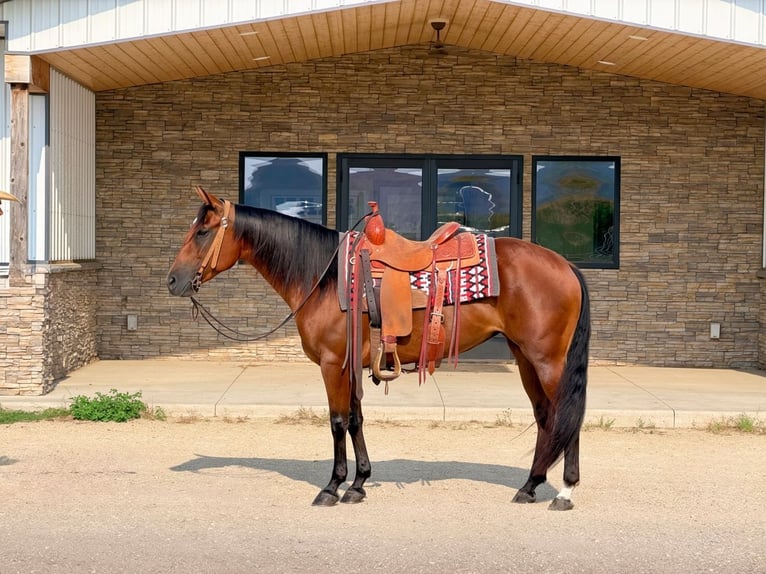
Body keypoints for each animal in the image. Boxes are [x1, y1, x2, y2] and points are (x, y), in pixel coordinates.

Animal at [166, 186, 591, 511]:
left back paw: (565, 492)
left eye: (202, 232)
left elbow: (337, 421)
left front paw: (332, 487)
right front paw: (358, 484)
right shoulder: (351, 365)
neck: (324, 276)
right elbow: (356, 419)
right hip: (525, 359)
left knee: (567, 418)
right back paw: (530, 486)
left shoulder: (332, 364)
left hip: (548, 362)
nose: (172, 280)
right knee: (546, 418)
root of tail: (565, 265)